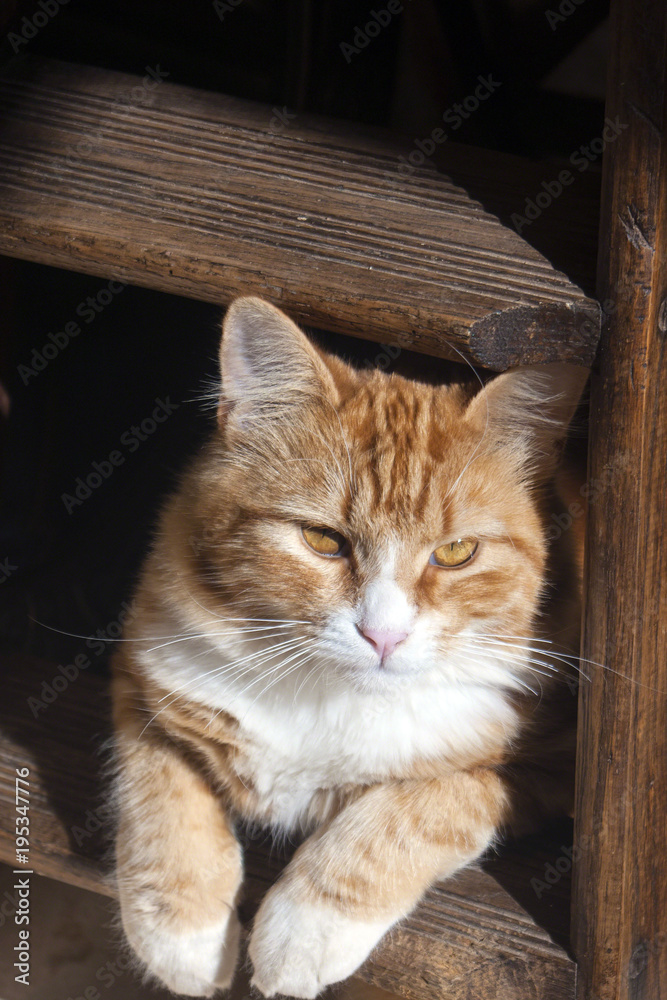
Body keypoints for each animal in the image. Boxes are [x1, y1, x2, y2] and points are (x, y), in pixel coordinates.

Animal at [112, 294, 588, 992]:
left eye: (455, 552)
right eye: (322, 539)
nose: (382, 635)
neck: (327, 698)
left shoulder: (540, 769)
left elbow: (420, 805)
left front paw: (304, 929)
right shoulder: (144, 673)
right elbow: (159, 796)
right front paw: (185, 933)